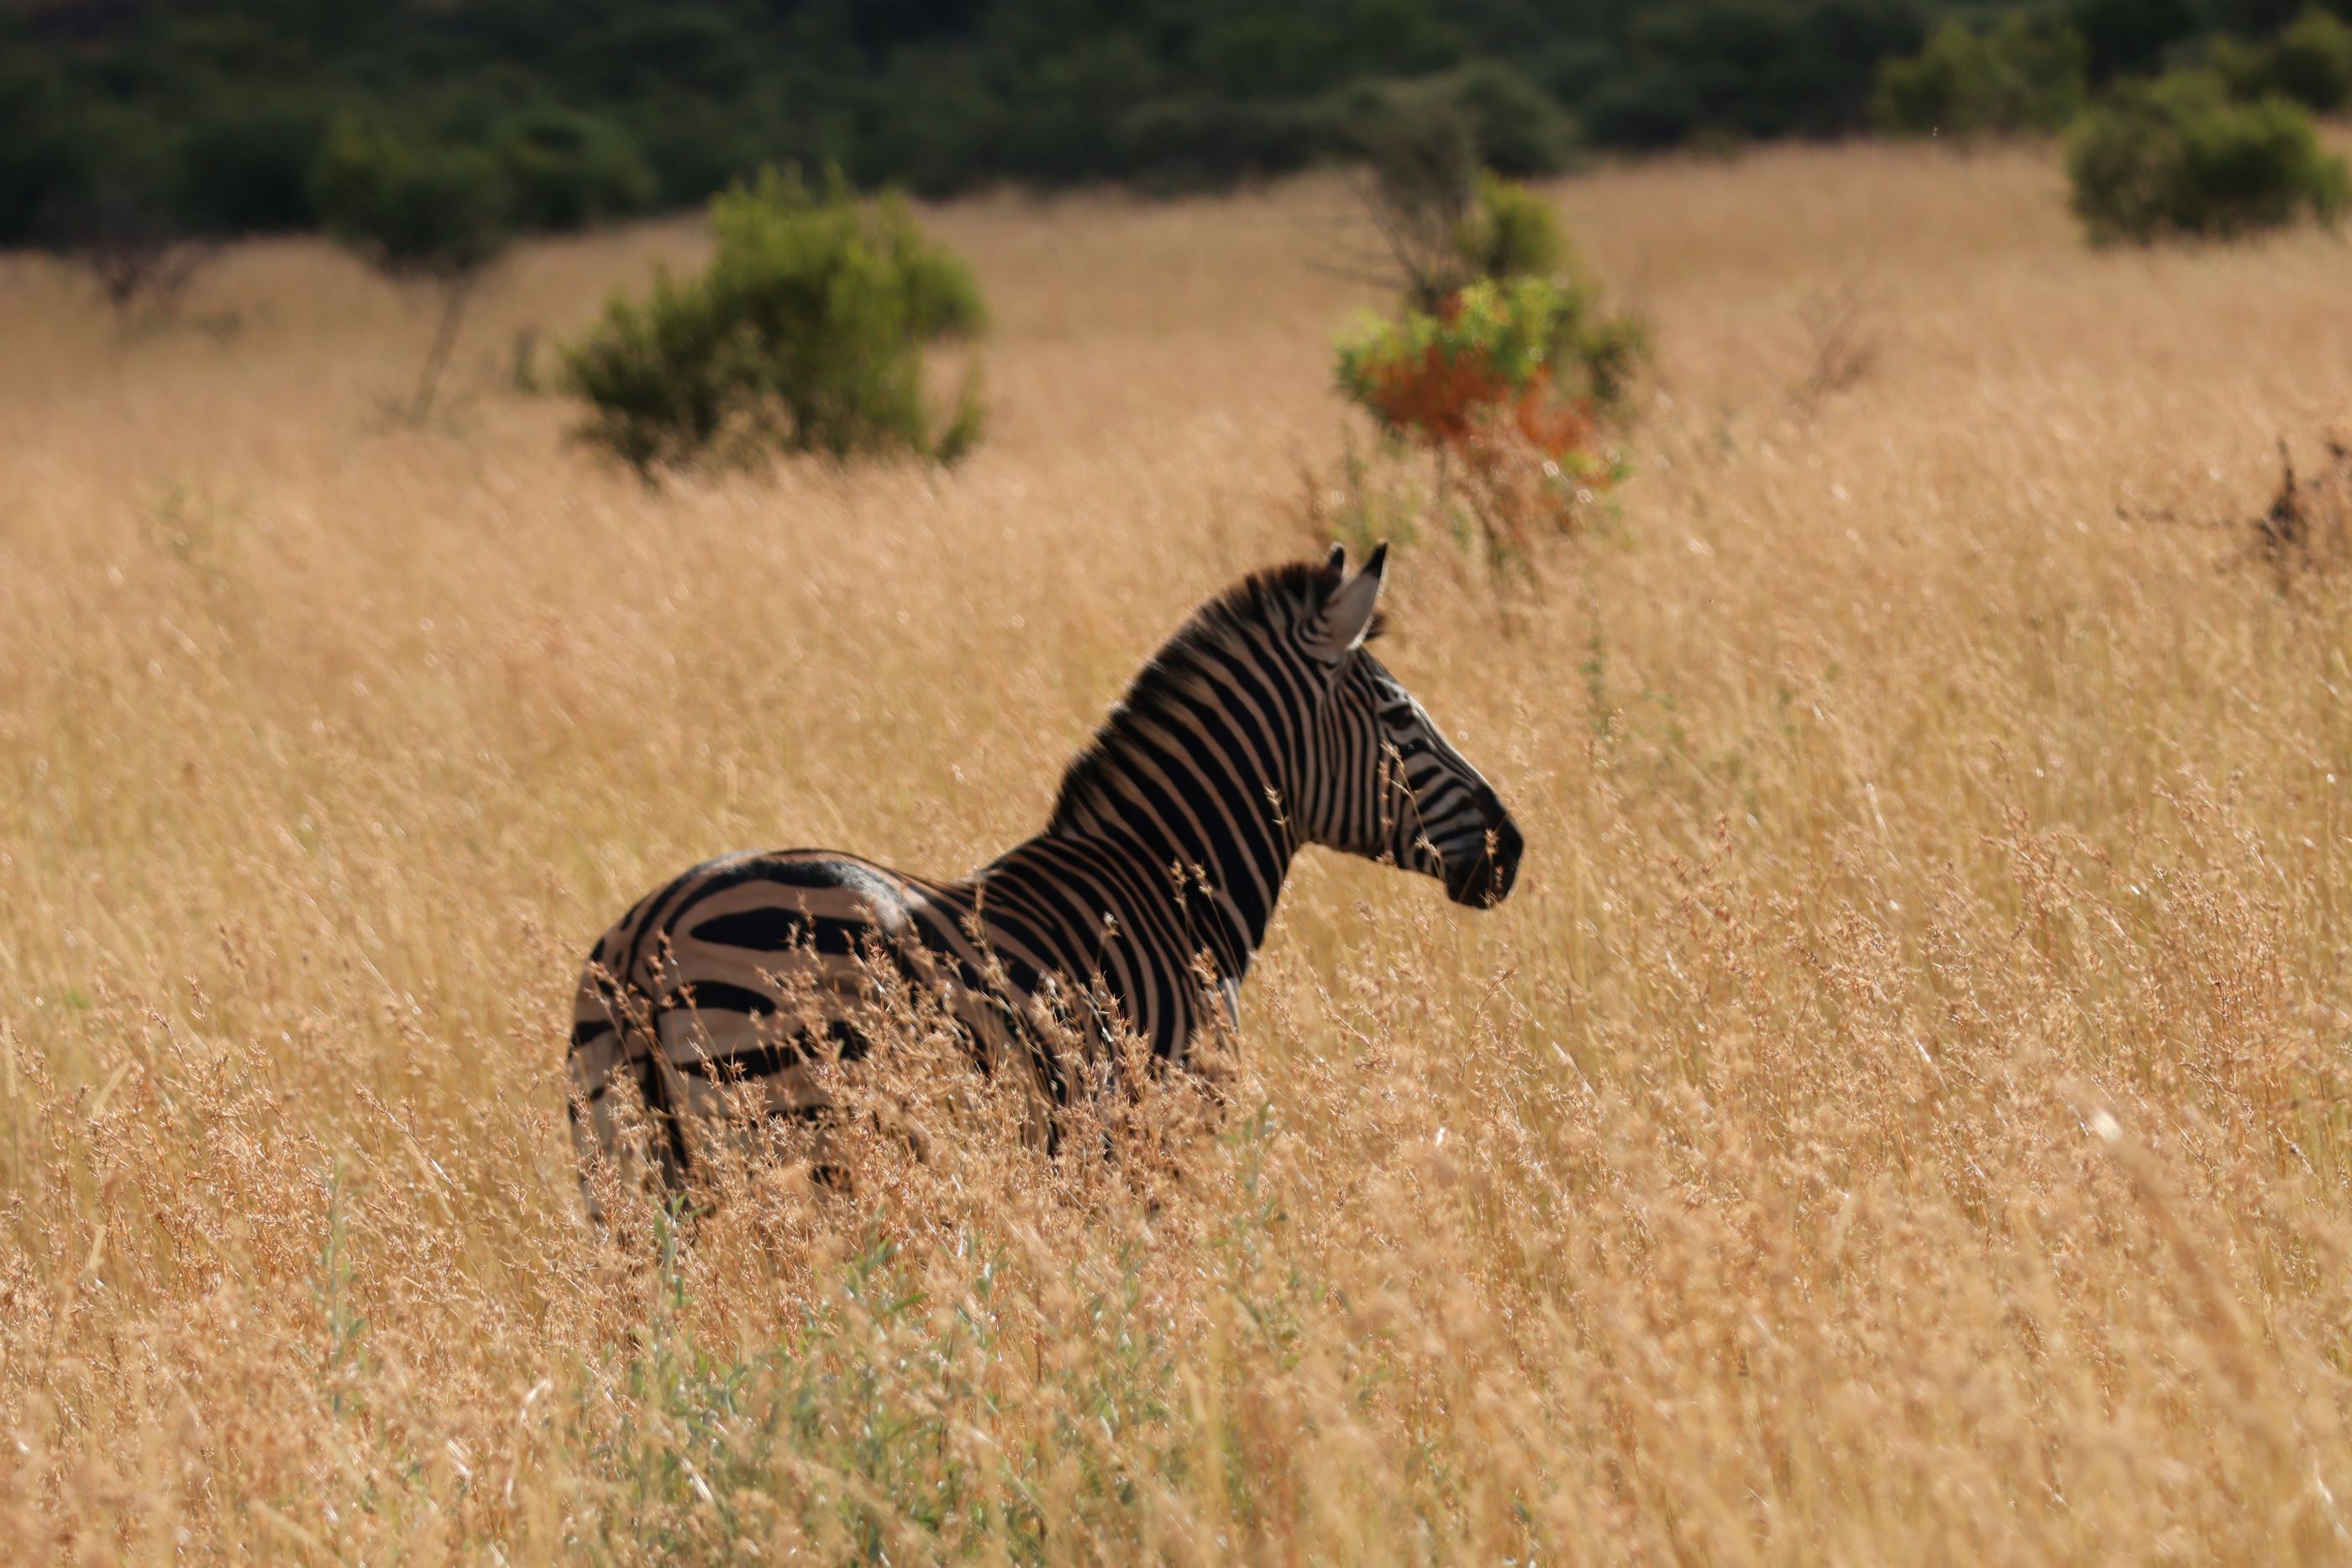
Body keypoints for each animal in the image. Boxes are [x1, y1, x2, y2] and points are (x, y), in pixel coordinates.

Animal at [566, 543, 1523, 1207]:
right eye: (1400, 717)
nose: (1511, 849)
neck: (1167, 883)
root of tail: (649, 930)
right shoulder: (1161, 1130)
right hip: (796, 1140)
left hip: (625, 1183)